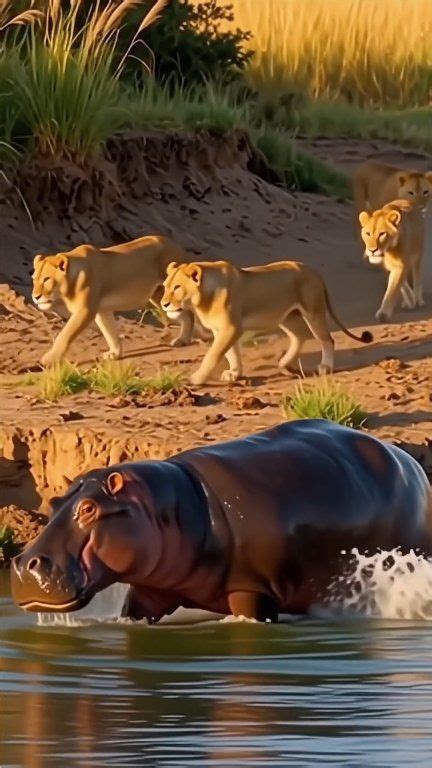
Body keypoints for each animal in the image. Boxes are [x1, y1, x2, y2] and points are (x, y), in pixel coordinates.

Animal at [11, 420, 432, 622]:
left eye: (89, 509)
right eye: (55, 501)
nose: (23, 563)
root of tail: (409, 461)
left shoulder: (252, 589)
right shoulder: (149, 591)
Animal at [32, 235, 205, 367]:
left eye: (46, 279)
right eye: (34, 279)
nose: (35, 296)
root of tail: (175, 245)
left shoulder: (85, 310)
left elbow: (65, 334)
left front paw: (48, 359)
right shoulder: (102, 310)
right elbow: (109, 331)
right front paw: (115, 354)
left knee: (189, 314)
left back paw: (185, 340)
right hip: (160, 298)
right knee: (186, 315)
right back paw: (184, 339)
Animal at [161, 260, 372, 385]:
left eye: (177, 288)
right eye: (165, 287)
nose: (164, 304)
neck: (202, 298)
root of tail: (313, 271)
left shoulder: (231, 328)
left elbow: (213, 355)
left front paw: (196, 378)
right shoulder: (221, 330)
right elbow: (231, 353)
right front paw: (234, 374)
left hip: (313, 312)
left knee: (327, 339)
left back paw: (325, 367)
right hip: (288, 317)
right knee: (300, 336)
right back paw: (285, 364)